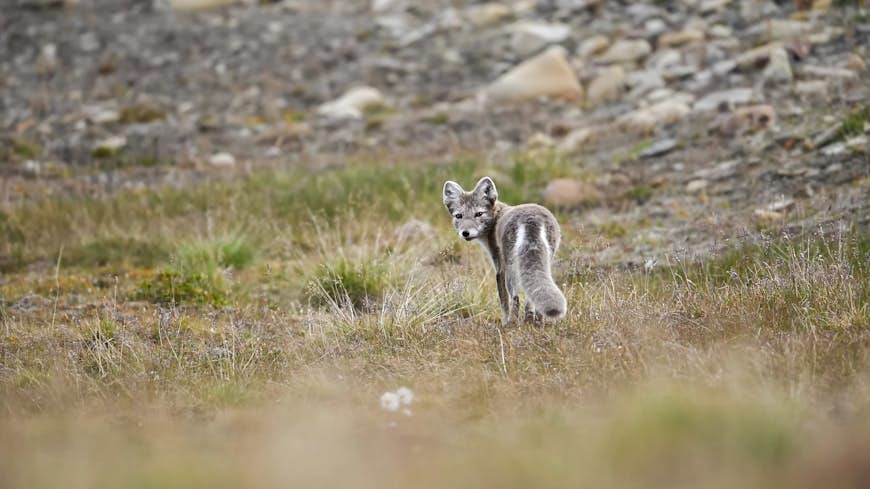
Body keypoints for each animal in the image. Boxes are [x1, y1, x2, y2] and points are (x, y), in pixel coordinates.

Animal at [442, 175, 572, 324]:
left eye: (479, 214)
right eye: (459, 216)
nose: (465, 233)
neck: (495, 217)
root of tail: (531, 220)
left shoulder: (499, 267)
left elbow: (503, 300)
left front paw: (504, 322)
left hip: (512, 269)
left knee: (515, 298)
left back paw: (512, 323)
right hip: (545, 261)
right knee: (531, 298)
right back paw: (534, 323)